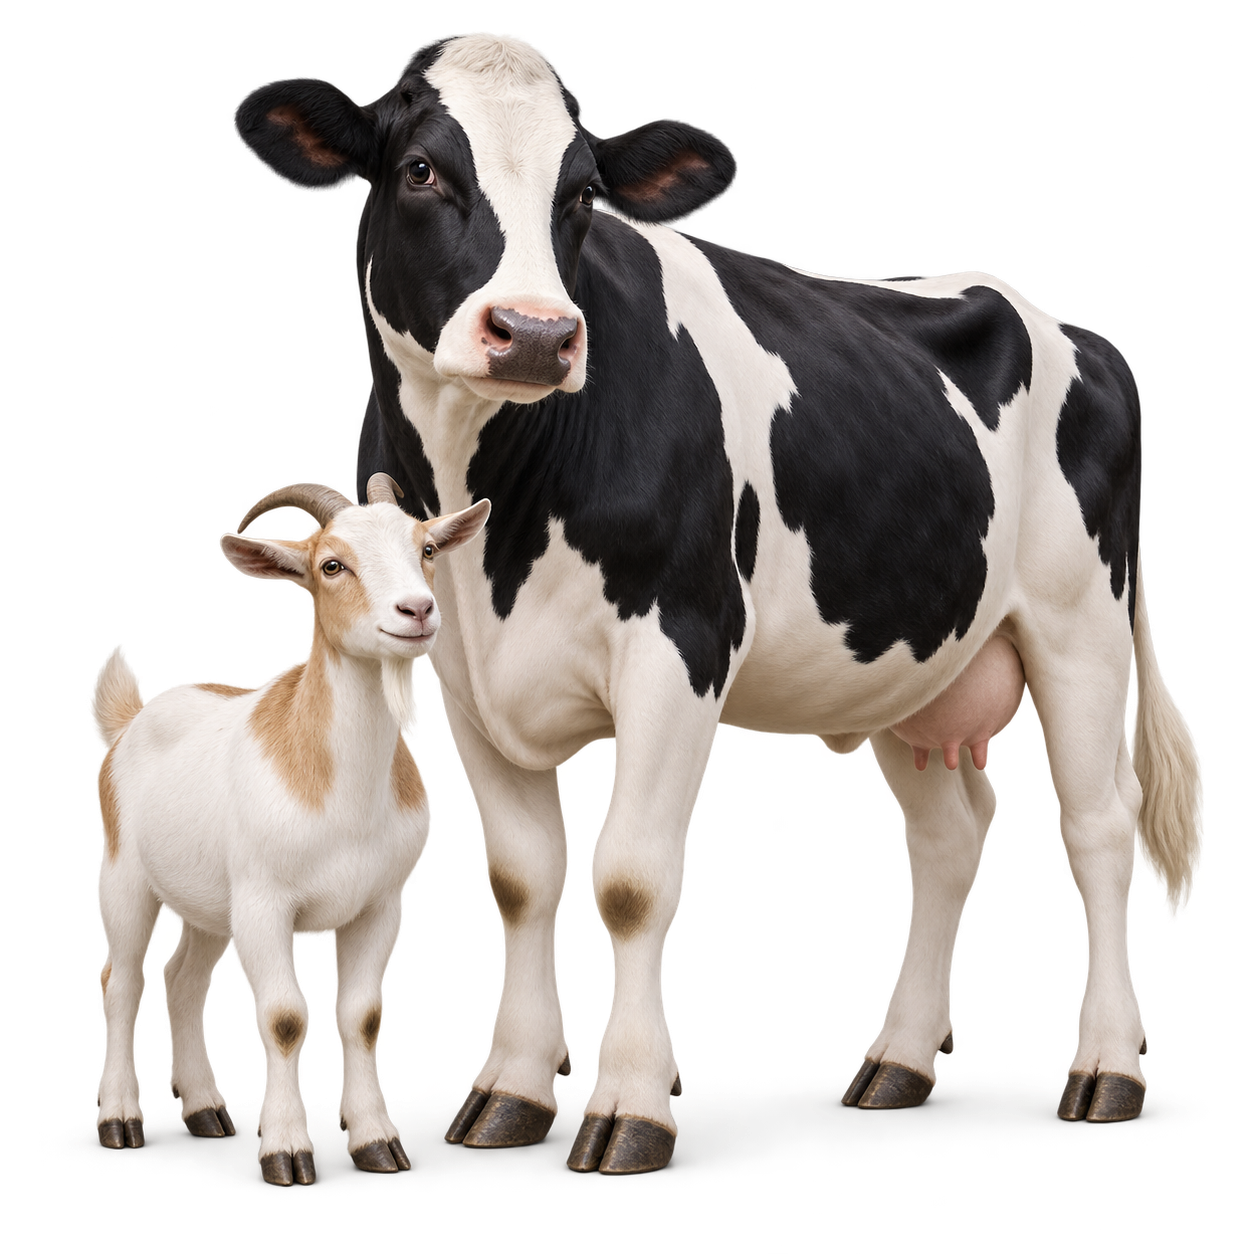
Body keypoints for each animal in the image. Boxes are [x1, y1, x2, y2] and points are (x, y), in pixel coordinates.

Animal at [89, 473, 490, 1186]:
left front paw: (376, 1142)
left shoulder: (379, 904)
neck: (342, 794)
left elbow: (361, 1016)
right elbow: (281, 1019)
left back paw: (205, 1110)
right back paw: (119, 1122)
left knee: (182, 980)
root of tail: (135, 716)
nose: (417, 611)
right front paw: (286, 1152)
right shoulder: (265, 902)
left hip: (207, 904)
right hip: (126, 878)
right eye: (331, 564)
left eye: (426, 550)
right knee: (122, 982)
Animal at [234, 30, 1204, 1174]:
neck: (499, 514)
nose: (536, 333)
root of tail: (1061, 325)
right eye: (423, 169)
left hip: (1080, 623)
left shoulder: (679, 646)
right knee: (952, 833)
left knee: (1098, 826)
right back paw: (898, 1063)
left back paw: (1107, 1071)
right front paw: (511, 1092)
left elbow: (631, 879)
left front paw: (628, 1107)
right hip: (914, 663)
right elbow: (521, 877)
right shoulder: (465, 678)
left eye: (584, 192)